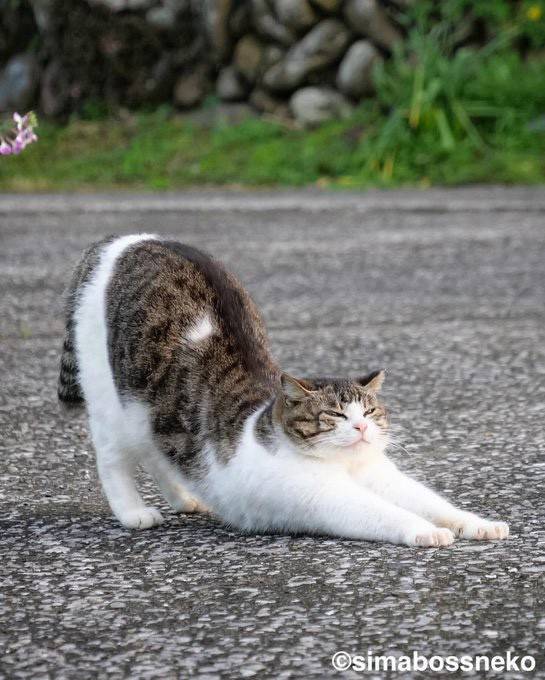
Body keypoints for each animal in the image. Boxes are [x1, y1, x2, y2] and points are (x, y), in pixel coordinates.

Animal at [57, 234, 508, 548]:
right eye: (336, 415)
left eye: (369, 412)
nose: (361, 428)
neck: (344, 466)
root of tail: (121, 240)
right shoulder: (324, 497)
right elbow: (384, 513)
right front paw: (424, 531)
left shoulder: (384, 478)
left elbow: (435, 504)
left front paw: (478, 523)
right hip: (111, 402)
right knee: (112, 457)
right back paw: (133, 512)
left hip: (149, 415)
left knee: (158, 450)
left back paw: (184, 497)